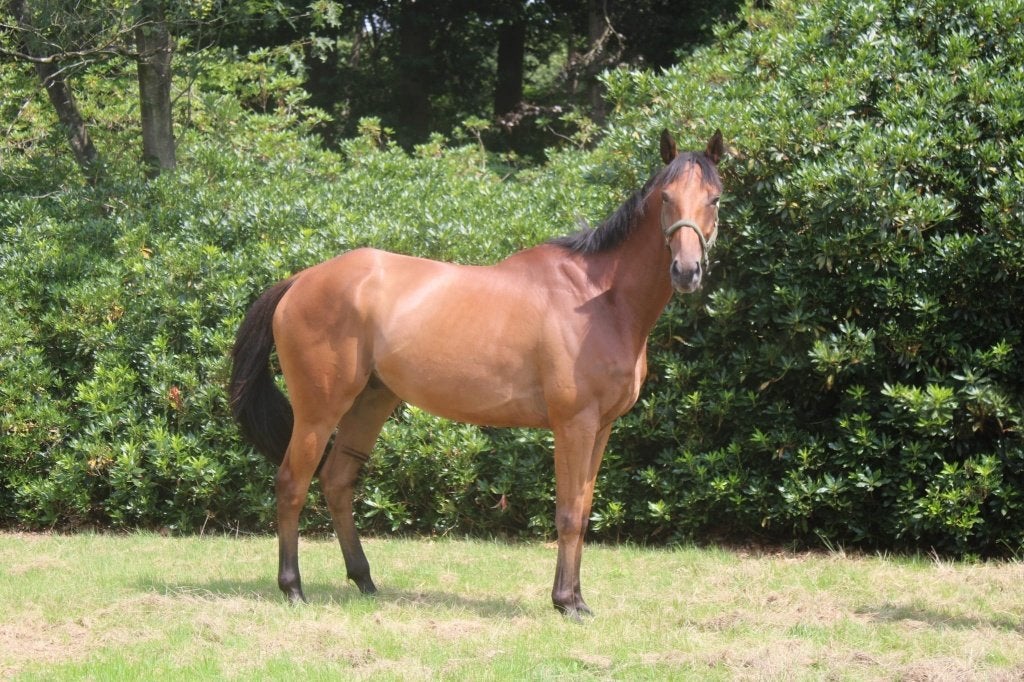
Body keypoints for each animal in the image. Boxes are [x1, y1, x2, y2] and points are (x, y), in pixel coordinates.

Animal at [229, 129, 725, 618]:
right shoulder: (574, 424)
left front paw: (578, 599)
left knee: (336, 481)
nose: (686, 271)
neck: (598, 298)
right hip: (319, 410)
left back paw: (364, 580)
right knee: (292, 483)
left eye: (715, 198)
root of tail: (300, 280)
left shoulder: (601, 428)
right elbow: (567, 514)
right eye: (665, 197)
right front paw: (565, 602)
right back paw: (293, 588)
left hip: (371, 401)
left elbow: (583, 511)